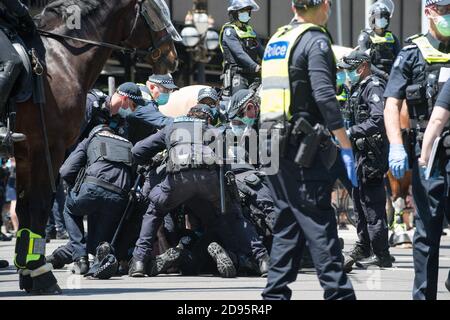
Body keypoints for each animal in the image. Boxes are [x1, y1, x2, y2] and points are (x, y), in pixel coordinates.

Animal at [11, 0, 179, 296]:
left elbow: (24, 207)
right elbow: (40, 205)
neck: (61, 61)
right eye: (157, 12)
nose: (173, 56)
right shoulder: (48, 146)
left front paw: (28, 272)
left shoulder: (25, 151)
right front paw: (41, 274)